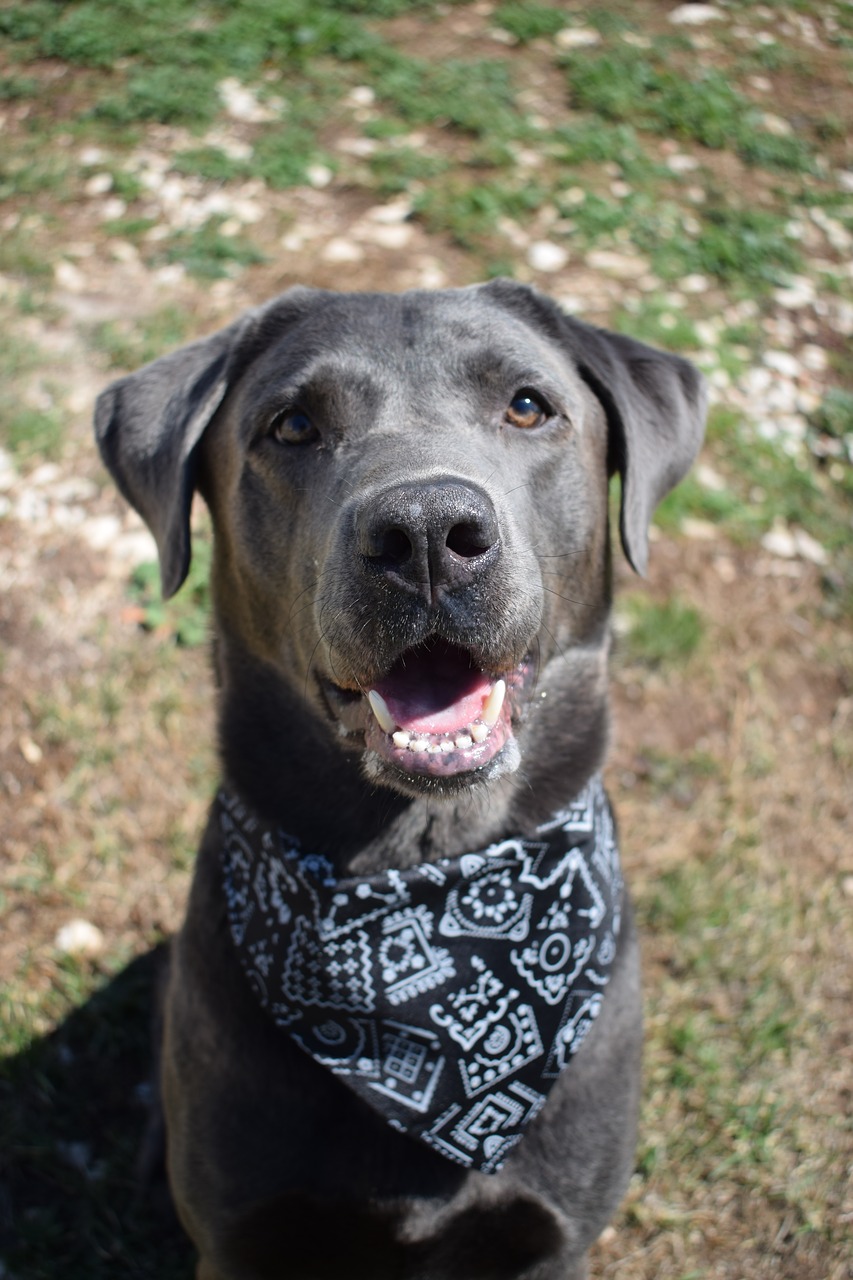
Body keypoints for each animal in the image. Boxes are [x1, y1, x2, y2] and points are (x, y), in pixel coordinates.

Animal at [94, 282, 701, 1280]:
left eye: (527, 405)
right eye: (293, 424)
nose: (424, 533)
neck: (418, 869)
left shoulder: (553, 1236)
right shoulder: (240, 1237)